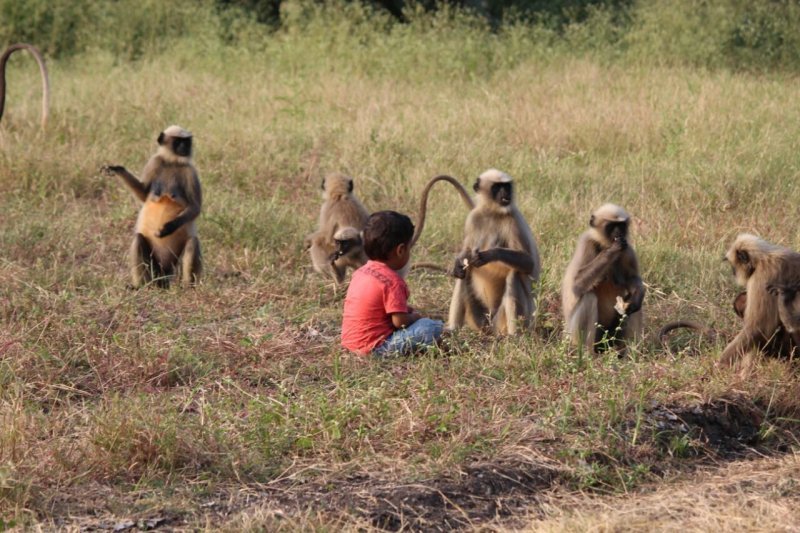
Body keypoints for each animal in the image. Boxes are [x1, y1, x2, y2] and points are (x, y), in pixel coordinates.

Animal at [103, 125, 202, 288]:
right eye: (178, 141)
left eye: (187, 141)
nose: (185, 148)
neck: (172, 162)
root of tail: (164, 275)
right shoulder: (155, 162)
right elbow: (143, 194)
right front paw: (117, 169)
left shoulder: (190, 171)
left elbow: (195, 208)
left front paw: (167, 228)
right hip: (154, 267)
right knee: (138, 239)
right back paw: (141, 286)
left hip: (175, 267)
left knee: (192, 242)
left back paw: (187, 287)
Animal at [446, 168, 540, 334]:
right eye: (496, 187)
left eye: (506, 186)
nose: (506, 193)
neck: (493, 212)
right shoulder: (473, 217)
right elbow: (466, 253)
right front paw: (458, 262)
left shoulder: (513, 219)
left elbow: (529, 263)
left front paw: (488, 255)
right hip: (479, 320)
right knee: (463, 274)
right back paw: (452, 330)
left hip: (510, 321)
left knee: (514, 275)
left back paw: (515, 335)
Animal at [564, 204, 644, 354]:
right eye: (611, 226)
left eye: (621, 225)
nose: (619, 233)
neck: (604, 244)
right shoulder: (587, 243)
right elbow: (577, 285)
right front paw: (612, 251)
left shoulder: (627, 249)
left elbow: (632, 279)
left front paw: (635, 299)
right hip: (575, 335)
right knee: (589, 298)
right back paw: (588, 355)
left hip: (613, 335)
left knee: (634, 307)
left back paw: (629, 354)